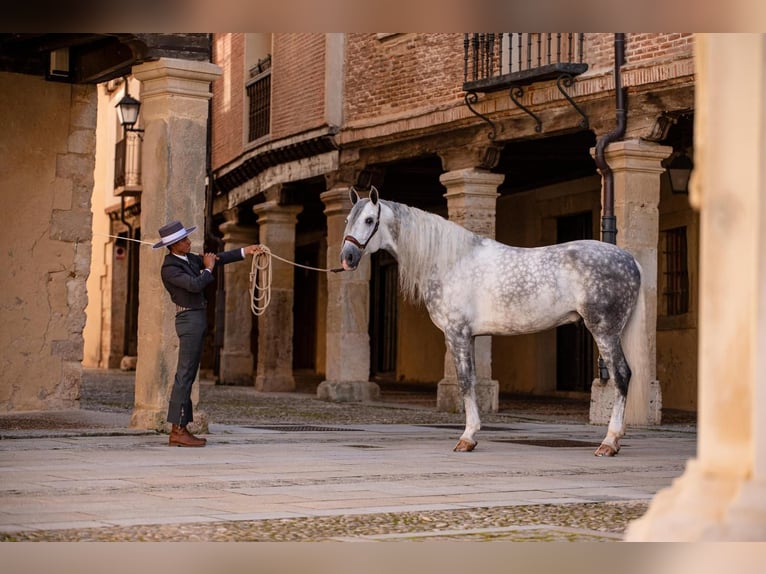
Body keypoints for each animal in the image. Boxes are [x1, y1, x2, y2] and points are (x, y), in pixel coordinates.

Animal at [340, 186, 649, 457]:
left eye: (369, 220)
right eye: (347, 220)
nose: (347, 258)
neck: (451, 261)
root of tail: (630, 259)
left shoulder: (456, 333)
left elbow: (464, 382)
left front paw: (466, 438)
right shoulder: (471, 336)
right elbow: (473, 380)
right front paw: (472, 434)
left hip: (605, 331)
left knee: (621, 376)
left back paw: (608, 443)